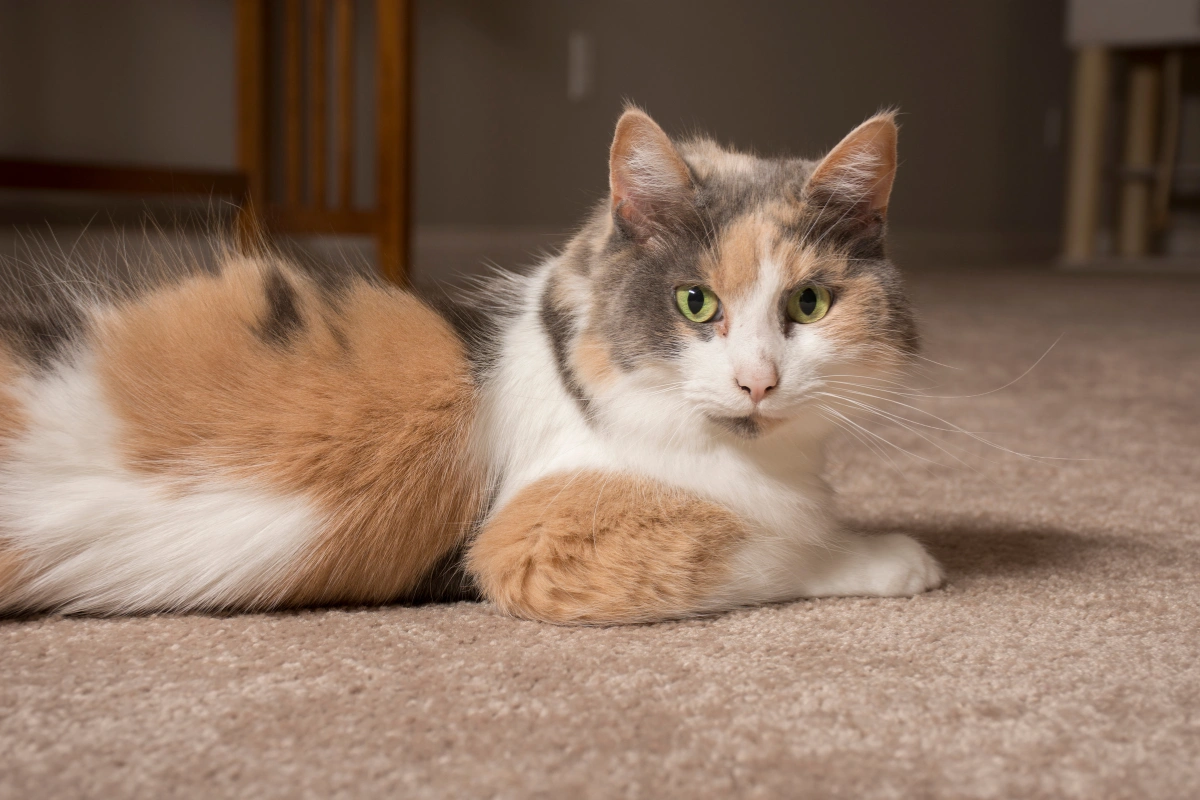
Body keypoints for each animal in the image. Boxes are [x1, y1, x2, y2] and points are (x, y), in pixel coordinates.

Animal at [0, 109, 940, 623]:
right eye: (695, 303)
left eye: (808, 304)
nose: (758, 382)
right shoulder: (538, 543)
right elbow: (780, 546)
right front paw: (897, 556)